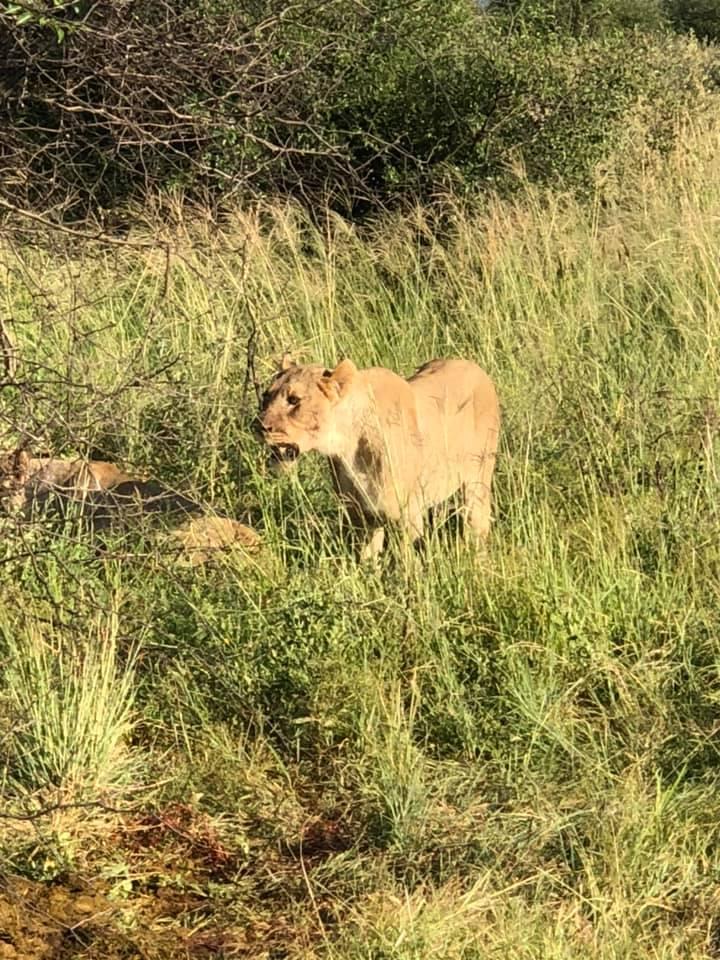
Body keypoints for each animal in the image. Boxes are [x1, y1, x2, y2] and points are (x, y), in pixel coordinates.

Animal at [256, 355, 500, 559]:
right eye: (265, 397)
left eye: (294, 400)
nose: (258, 426)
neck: (346, 445)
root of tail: (476, 368)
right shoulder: (361, 517)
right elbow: (367, 560)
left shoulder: (407, 518)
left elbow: (406, 562)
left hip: (477, 480)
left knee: (478, 523)